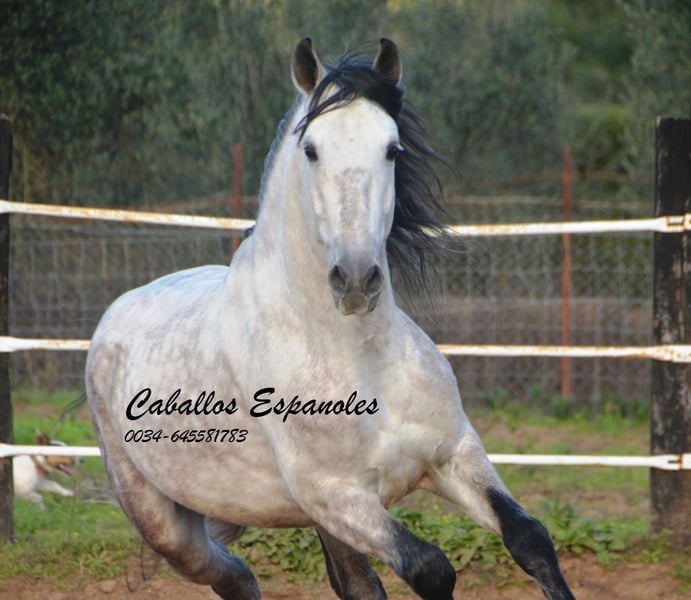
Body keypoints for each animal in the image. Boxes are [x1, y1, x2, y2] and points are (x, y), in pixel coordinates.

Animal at [86, 38, 575, 600]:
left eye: (392, 149)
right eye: (311, 149)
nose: (357, 280)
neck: (360, 357)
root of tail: (116, 314)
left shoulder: (454, 454)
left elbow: (530, 538)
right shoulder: (336, 495)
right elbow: (432, 569)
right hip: (164, 523)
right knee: (235, 575)